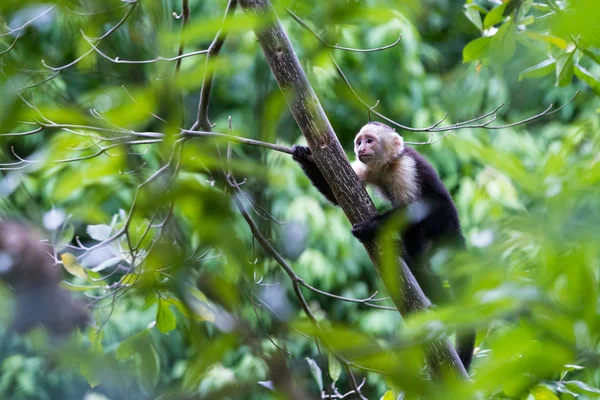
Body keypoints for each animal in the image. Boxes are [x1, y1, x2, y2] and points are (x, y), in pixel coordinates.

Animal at [292, 122, 476, 372]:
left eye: (370, 140)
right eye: (360, 141)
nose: (361, 148)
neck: (387, 165)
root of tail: (455, 228)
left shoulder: (406, 168)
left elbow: (413, 209)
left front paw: (370, 227)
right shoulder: (365, 168)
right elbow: (337, 195)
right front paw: (304, 154)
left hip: (441, 222)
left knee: (420, 225)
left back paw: (420, 271)